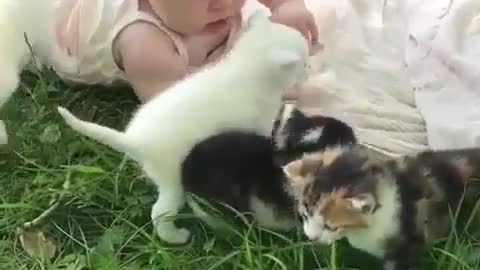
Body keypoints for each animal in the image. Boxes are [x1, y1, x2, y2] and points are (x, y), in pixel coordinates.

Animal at [58, 11, 310, 245]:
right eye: (303, 61)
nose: (308, 70)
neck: (245, 68)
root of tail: (135, 140)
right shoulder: (260, 124)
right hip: (173, 182)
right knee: (159, 213)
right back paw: (176, 236)